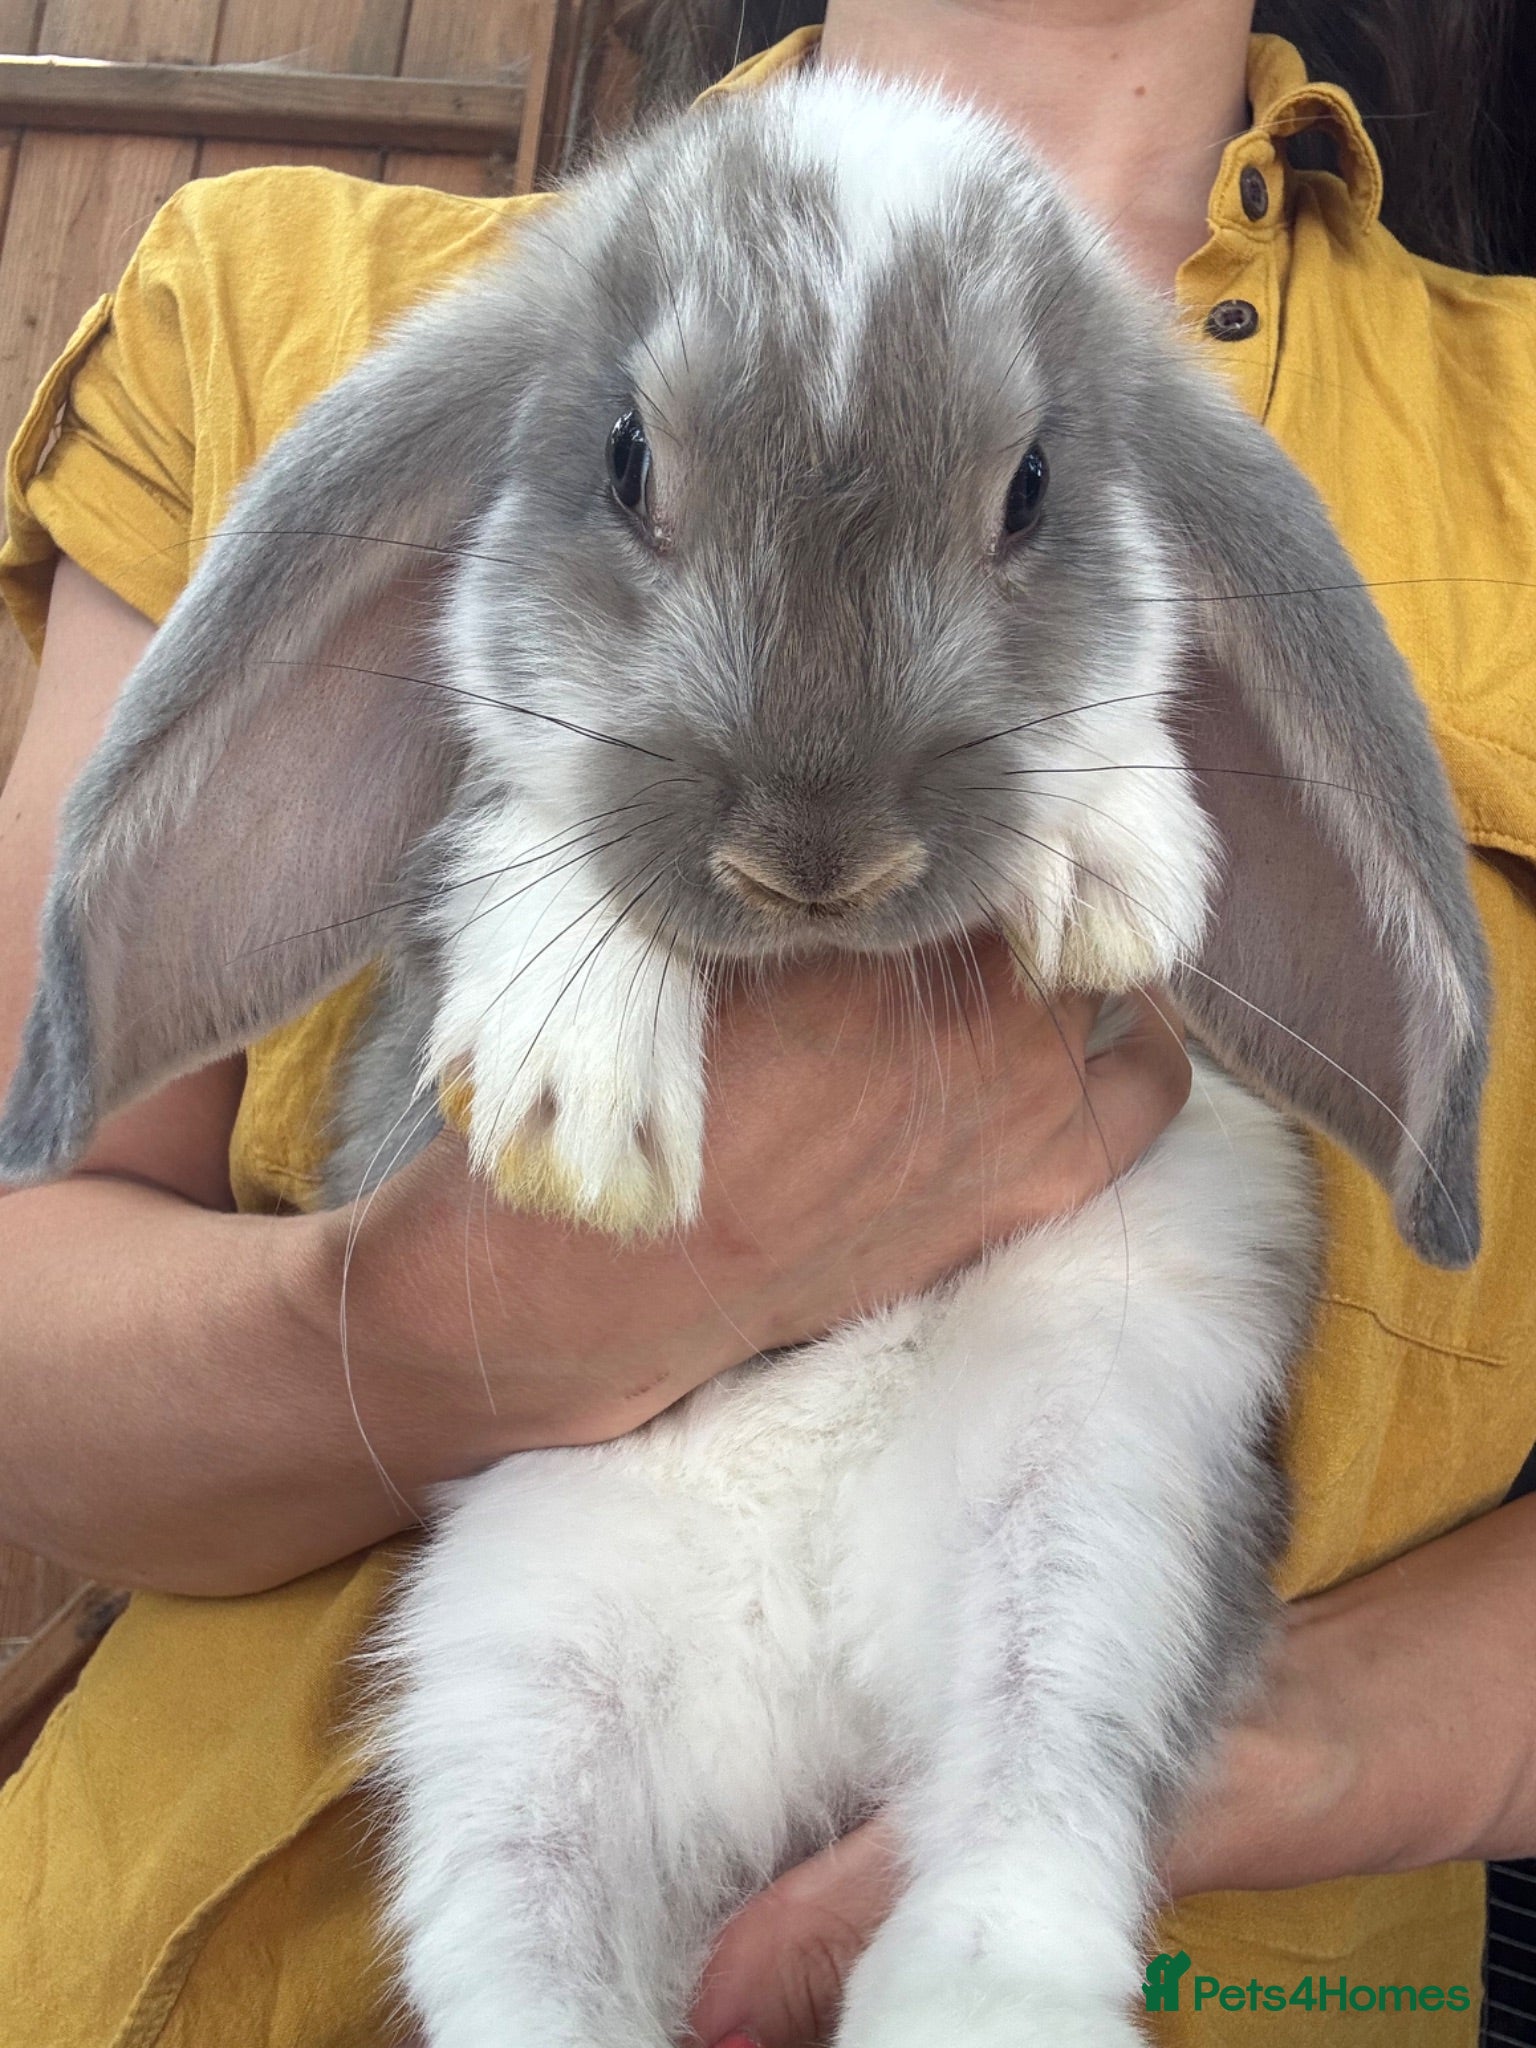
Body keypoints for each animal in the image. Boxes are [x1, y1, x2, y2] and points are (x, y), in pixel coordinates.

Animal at [0, 63, 1490, 2048]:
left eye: (1030, 487)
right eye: (628, 460)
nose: (815, 848)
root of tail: (805, 1713)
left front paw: (1112, 863)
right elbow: (515, 830)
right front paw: (579, 1084)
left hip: (1098, 1502)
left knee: (1035, 1794)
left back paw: (978, 2001)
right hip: (510, 1694)